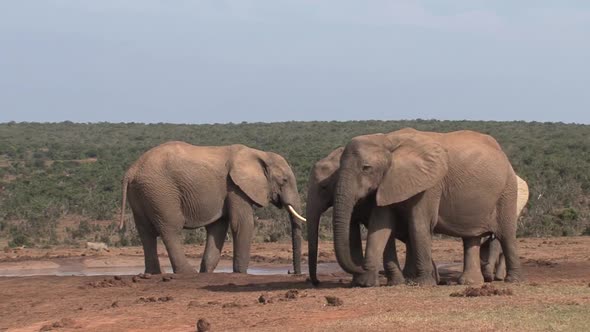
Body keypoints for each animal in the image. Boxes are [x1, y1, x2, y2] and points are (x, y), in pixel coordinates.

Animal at [118, 142, 308, 274]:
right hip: (161, 192)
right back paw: (187, 273)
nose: (292, 272)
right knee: (171, 229)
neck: (259, 154)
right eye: (284, 180)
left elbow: (218, 228)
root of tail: (131, 171)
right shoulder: (235, 187)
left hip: (143, 192)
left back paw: (154, 273)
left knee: (145, 232)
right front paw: (240, 273)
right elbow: (242, 224)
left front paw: (207, 271)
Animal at [332, 128, 524, 286]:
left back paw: (513, 280)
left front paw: (423, 284)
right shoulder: (387, 182)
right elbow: (379, 226)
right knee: (471, 237)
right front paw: (365, 283)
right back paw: (470, 283)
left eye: (366, 168)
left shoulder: (431, 184)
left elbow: (418, 225)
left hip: (507, 190)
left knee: (506, 235)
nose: (359, 268)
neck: (388, 140)